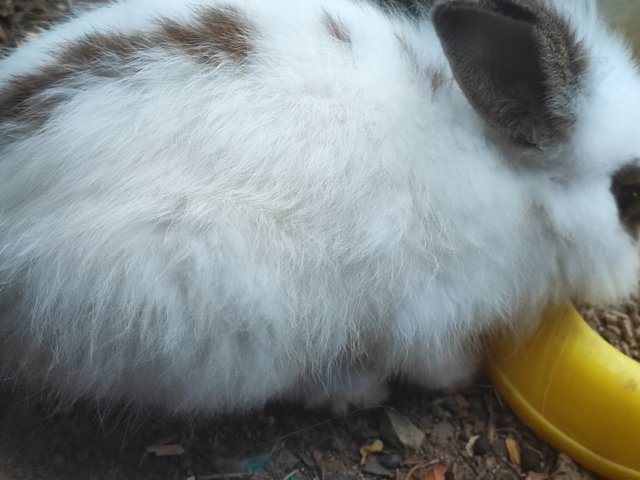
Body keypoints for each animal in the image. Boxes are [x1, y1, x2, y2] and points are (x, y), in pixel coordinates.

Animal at [0, 0, 640, 414]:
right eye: (629, 194)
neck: (515, 179)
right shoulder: (431, 306)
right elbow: (432, 357)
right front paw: (460, 377)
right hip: (221, 310)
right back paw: (358, 391)